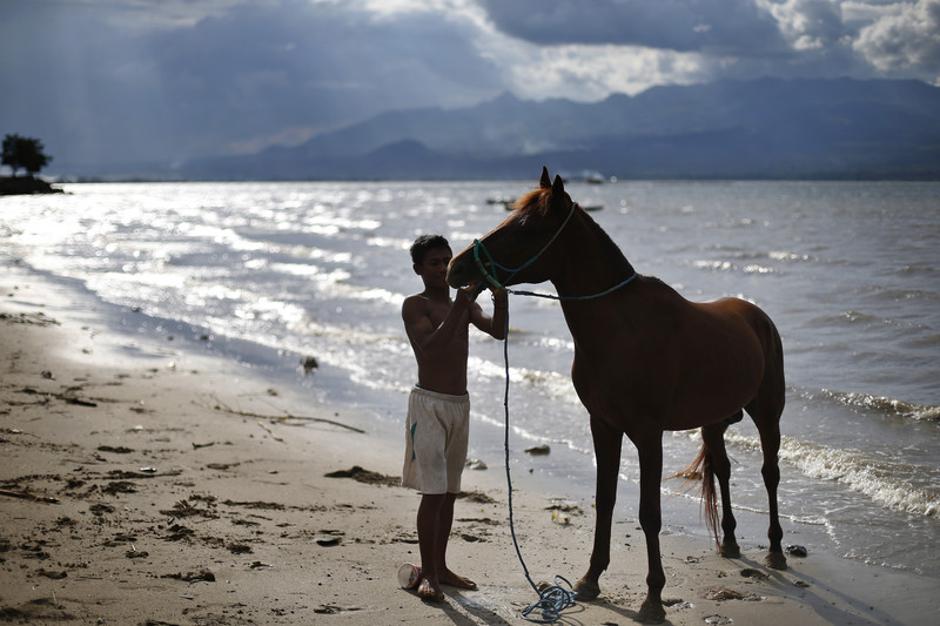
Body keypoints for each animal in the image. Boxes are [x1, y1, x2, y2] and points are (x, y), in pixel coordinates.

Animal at [448, 166, 784, 620]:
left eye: (525, 227)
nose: (456, 265)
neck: (621, 327)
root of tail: (757, 316)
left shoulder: (647, 433)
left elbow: (649, 513)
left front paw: (653, 598)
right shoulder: (604, 425)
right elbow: (604, 499)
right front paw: (590, 578)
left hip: (767, 413)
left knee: (770, 474)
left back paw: (776, 549)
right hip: (714, 420)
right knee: (724, 469)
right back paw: (729, 541)